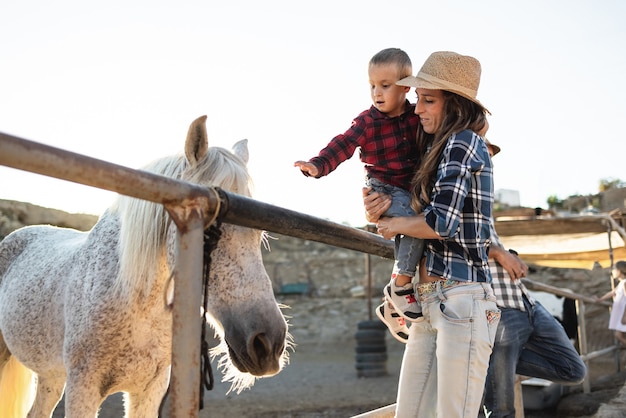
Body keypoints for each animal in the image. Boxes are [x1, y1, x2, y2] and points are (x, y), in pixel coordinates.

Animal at [0, 116, 288, 416]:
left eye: (260, 233)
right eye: (208, 231)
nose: (268, 343)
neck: (131, 300)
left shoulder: (149, 390)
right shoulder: (83, 387)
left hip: (51, 376)